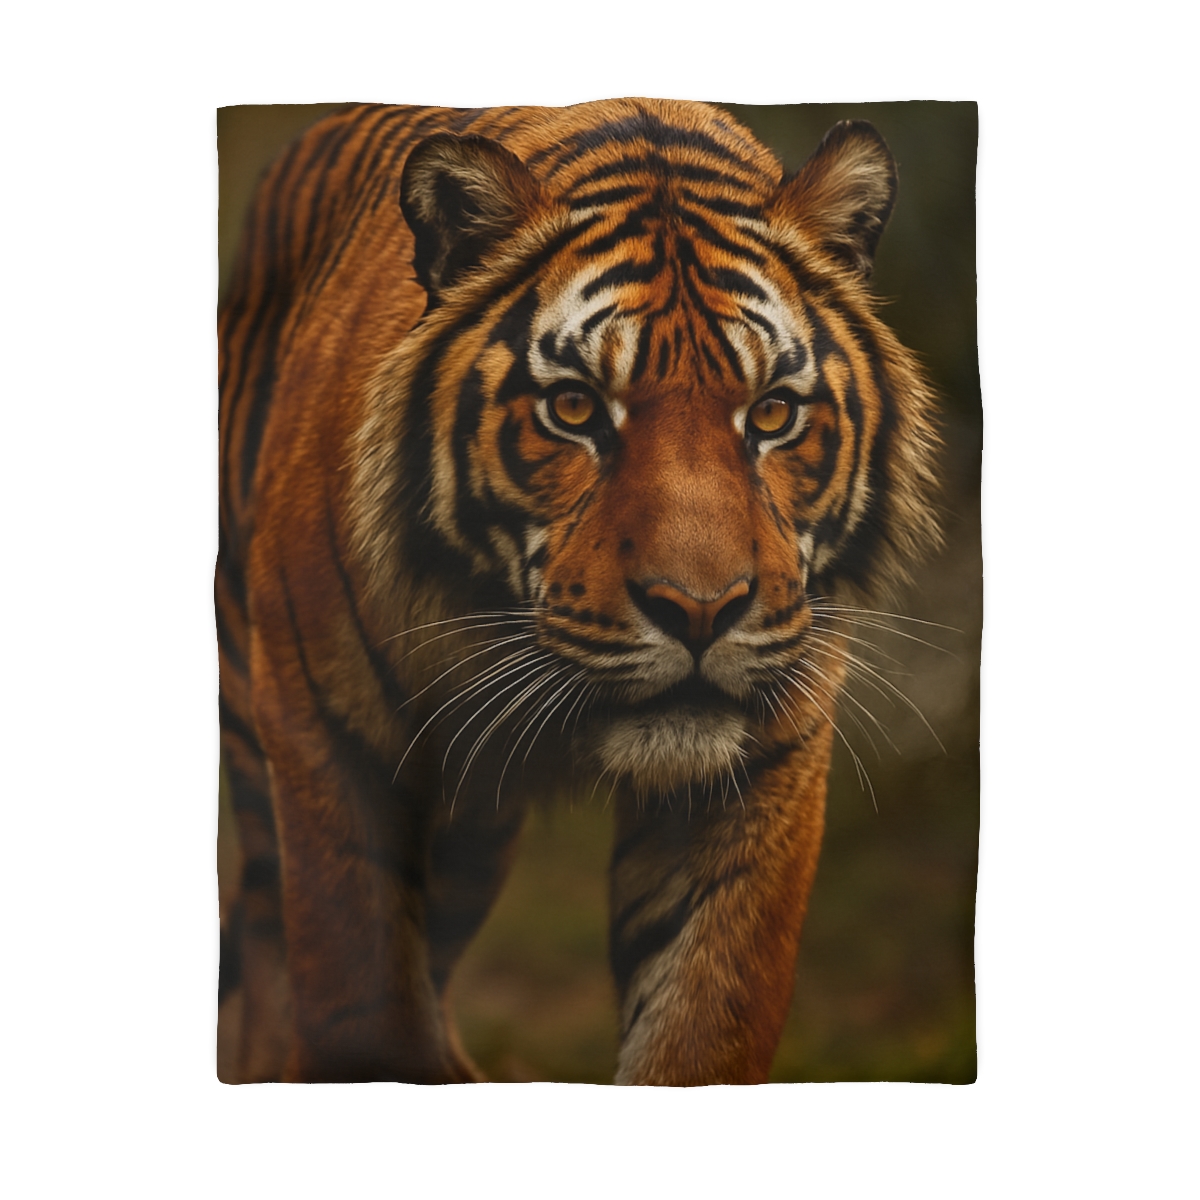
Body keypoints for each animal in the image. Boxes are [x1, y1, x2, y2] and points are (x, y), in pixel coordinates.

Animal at [217, 99, 941, 1085]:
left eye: (772, 414)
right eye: (574, 409)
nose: (701, 612)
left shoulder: (760, 771)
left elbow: (700, 1029)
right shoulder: (329, 744)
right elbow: (355, 999)